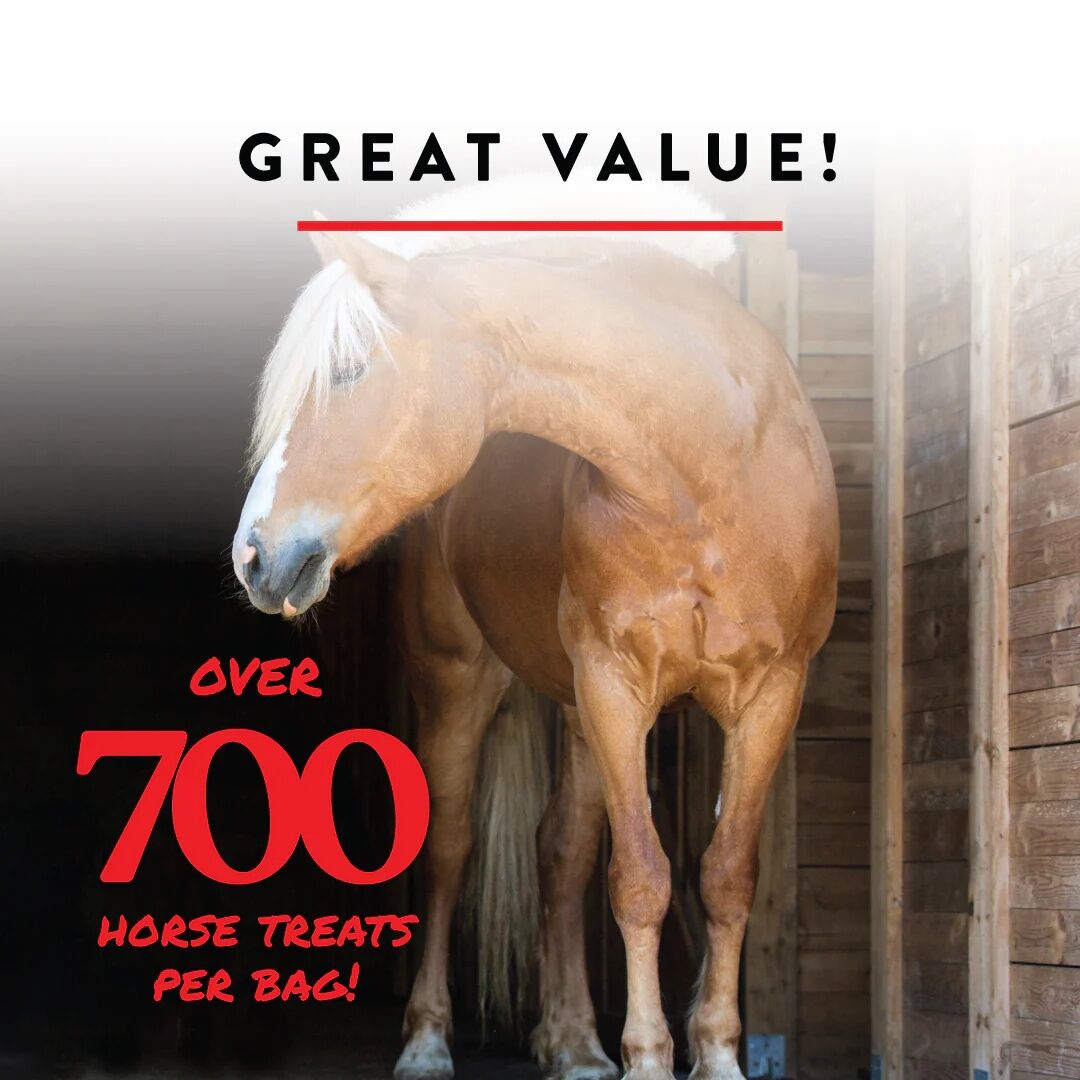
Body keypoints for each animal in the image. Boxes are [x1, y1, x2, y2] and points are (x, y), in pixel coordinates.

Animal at [231, 183, 838, 1080]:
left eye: (347, 371)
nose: (254, 557)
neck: (712, 467)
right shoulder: (616, 686)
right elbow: (640, 880)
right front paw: (650, 1059)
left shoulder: (770, 695)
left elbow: (725, 876)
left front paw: (716, 1056)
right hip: (463, 682)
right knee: (451, 849)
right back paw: (429, 1040)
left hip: (581, 714)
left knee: (562, 849)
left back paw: (576, 1043)